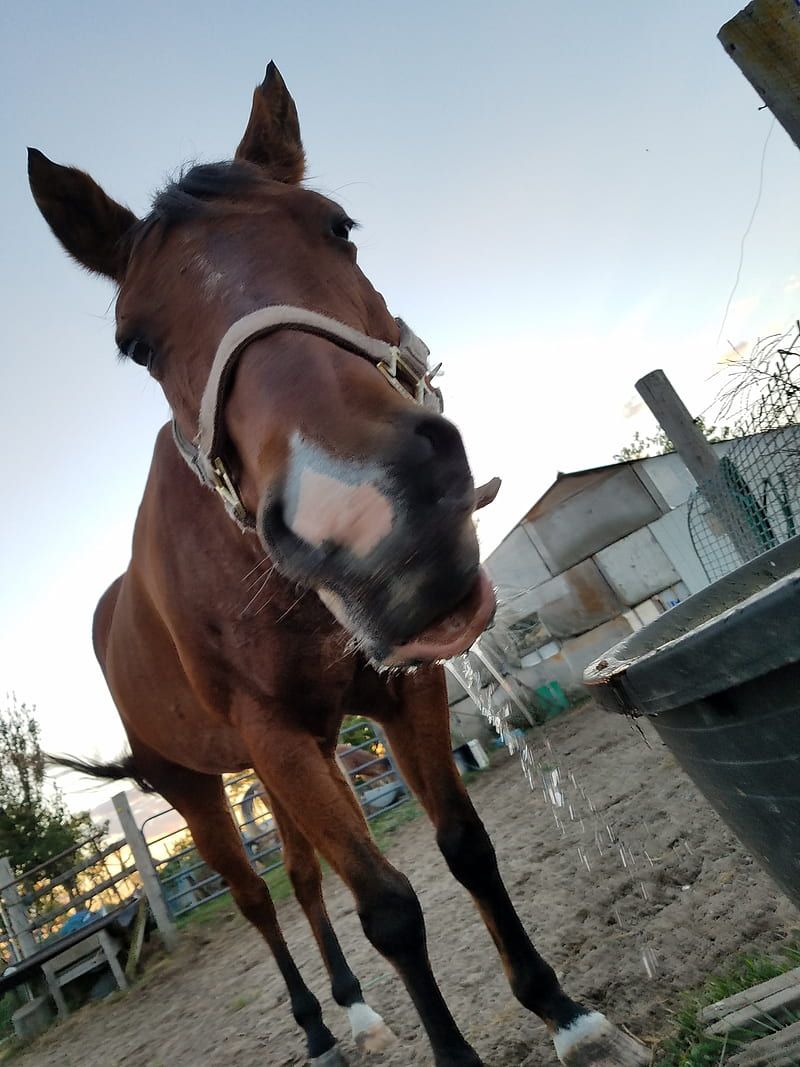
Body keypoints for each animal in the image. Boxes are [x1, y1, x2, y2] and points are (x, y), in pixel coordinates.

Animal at [29, 63, 649, 1067]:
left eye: (338, 226)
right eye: (135, 342)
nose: (361, 516)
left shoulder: (398, 691)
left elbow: (464, 844)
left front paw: (564, 1010)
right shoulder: (275, 737)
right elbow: (389, 906)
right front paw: (457, 1052)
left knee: (300, 873)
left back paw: (353, 1005)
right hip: (200, 790)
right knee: (257, 897)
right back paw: (317, 1024)